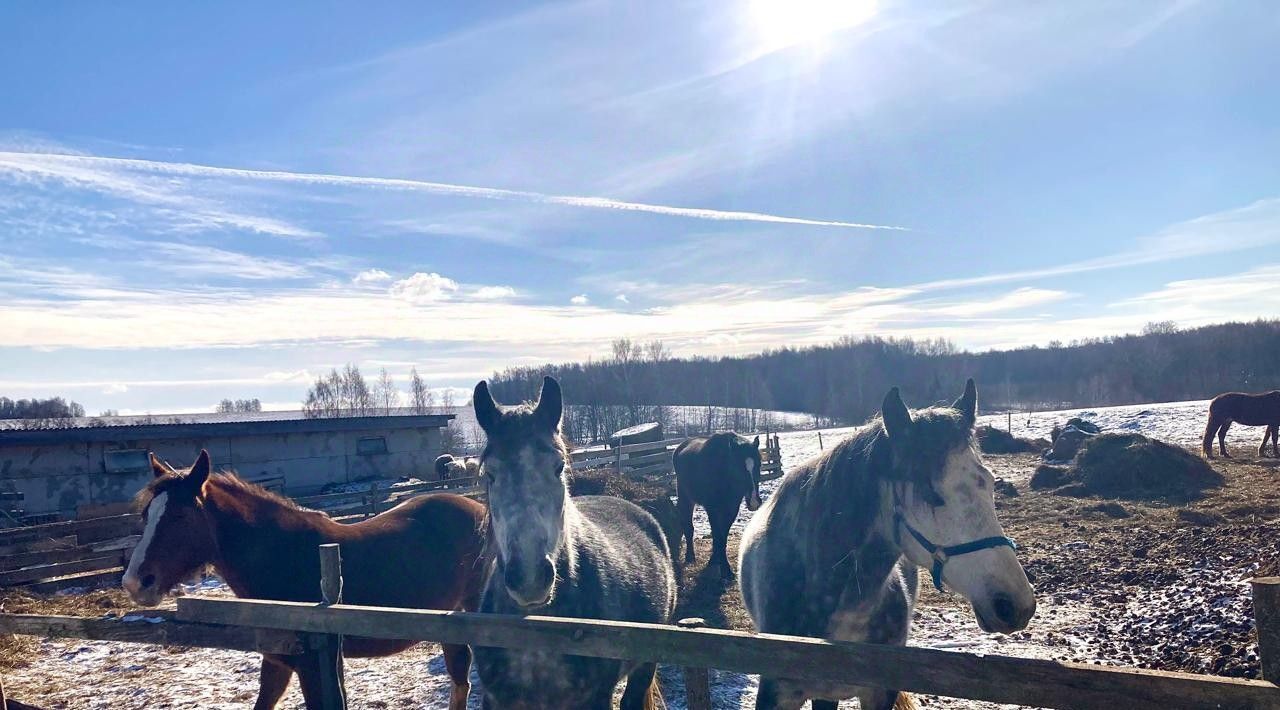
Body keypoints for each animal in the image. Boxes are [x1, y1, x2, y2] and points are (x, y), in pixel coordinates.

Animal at [124, 450, 486, 710]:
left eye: (180, 515)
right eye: (145, 515)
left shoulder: (314, 666)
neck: (287, 556)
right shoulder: (278, 662)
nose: (136, 582)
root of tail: (480, 510)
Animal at [670, 432, 757, 578]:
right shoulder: (712, 509)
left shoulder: (731, 509)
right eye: (738, 468)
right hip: (686, 499)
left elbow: (722, 536)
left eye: (759, 465)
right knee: (688, 527)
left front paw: (716, 561)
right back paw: (690, 557)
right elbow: (718, 536)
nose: (754, 502)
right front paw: (725, 570)